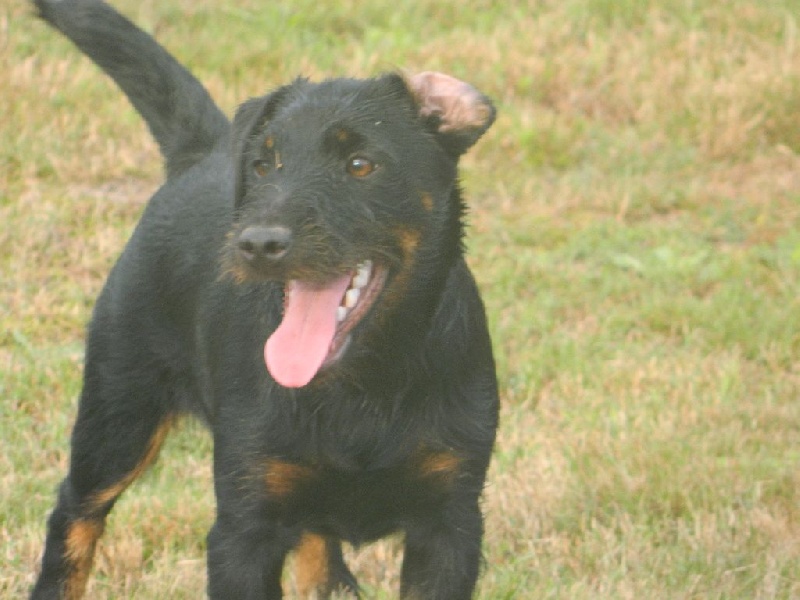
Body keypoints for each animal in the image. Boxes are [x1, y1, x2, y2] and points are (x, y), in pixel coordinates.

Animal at [30, 1, 499, 598]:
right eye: (262, 165)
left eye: (360, 164)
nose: (257, 243)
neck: (362, 386)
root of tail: (200, 155)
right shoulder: (244, 525)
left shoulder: (450, 521)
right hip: (118, 411)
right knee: (76, 515)